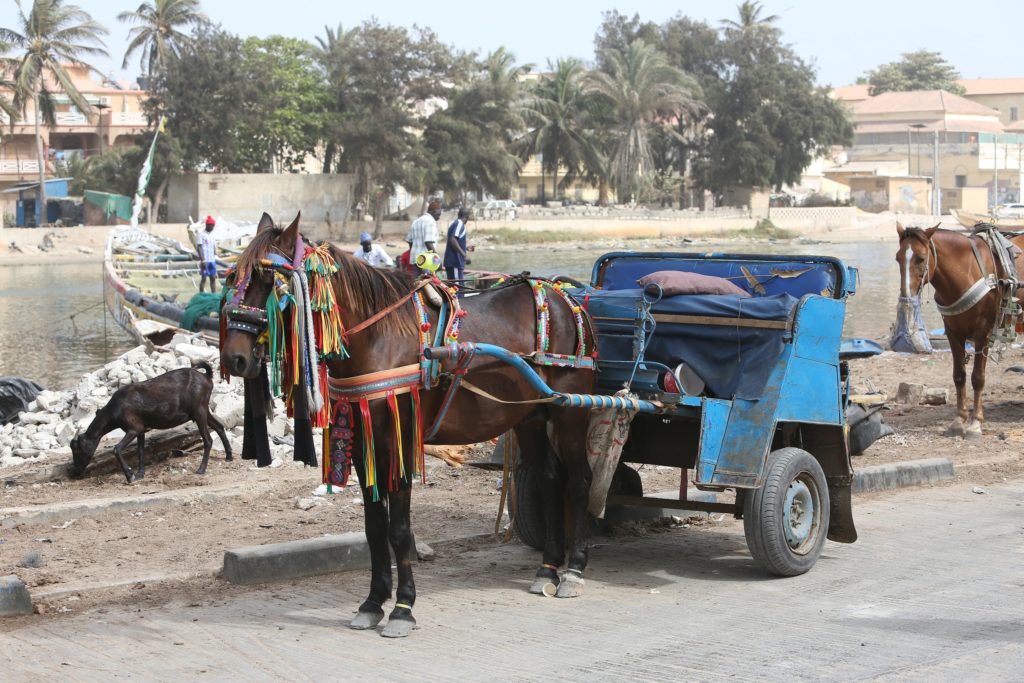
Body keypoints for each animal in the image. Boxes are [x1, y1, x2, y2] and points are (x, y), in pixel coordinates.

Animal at [70, 360, 232, 483]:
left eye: (78, 449)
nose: (75, 471)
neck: (116, 409)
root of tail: (207, 377)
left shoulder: (134, 427)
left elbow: (116, 449)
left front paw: (130, 476)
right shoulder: (141, 429)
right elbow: (140, 451)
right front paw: (140, 474)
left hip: (199, 411)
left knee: (208, 439)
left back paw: (201, 469)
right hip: (203, 410)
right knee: (219, 426)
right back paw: (229, 456)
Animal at [220, 211, 598, 634]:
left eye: (268, 280)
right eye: (232, 277)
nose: (234, 358)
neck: (377, 336)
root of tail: (565, 297)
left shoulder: (399, 441)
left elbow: (399, 530)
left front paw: (403, 607)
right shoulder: (363, 443)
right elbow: (374, 527)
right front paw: (372, 602)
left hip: (570, 412)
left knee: (580, 481)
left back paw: (574, 570)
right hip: (530, 415)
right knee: (550, 479)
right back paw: (548, 568)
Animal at [892, 222, 1019, 440]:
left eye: (921, 258)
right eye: (898, 258)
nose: (906, 294)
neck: (968, 271)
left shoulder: (983, 333)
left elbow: (977, 378)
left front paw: (975, 423)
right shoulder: (953, 332)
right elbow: (959, 376)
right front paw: (959, 420)